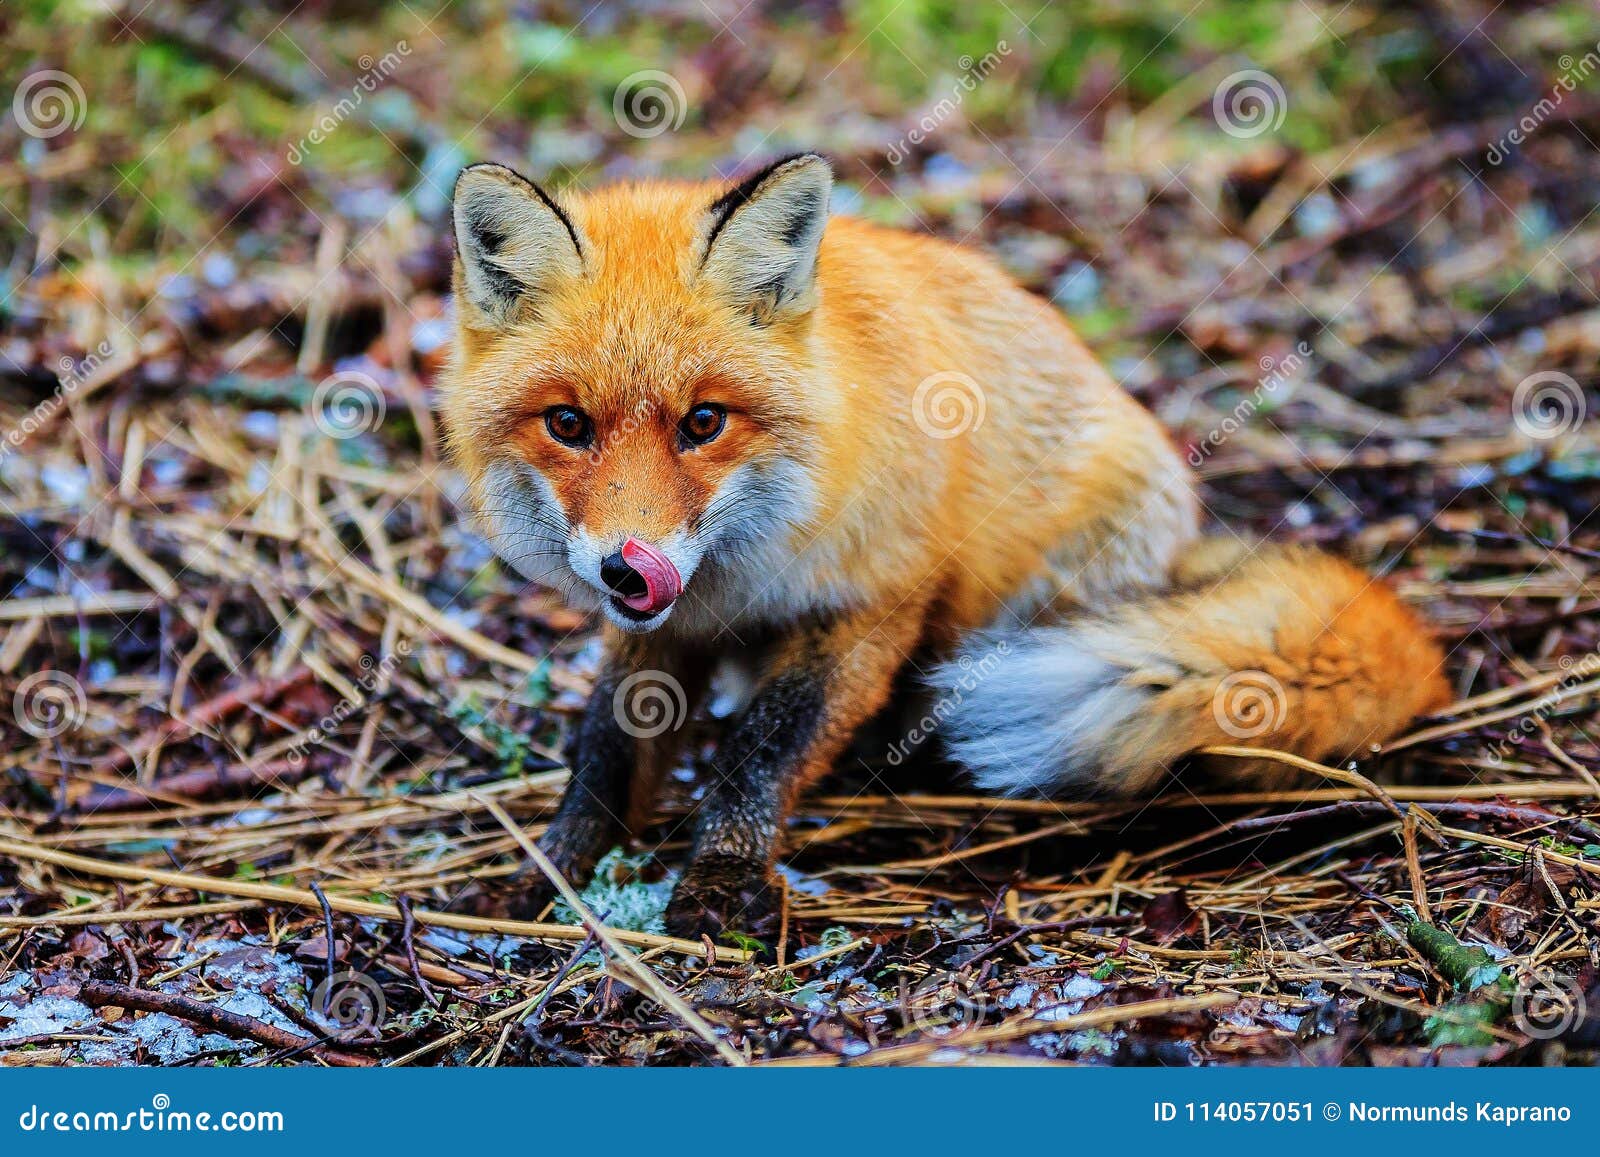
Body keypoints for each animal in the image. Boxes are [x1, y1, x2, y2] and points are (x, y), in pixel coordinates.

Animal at [441, 153, 1452, 940]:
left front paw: (722, 876)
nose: (626, 566)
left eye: (704, 423)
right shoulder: (664, 629)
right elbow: (606, 747)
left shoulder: (872, 604)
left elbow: (760, 749)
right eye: (568, 424)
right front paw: (554, 865)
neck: (740, 578)